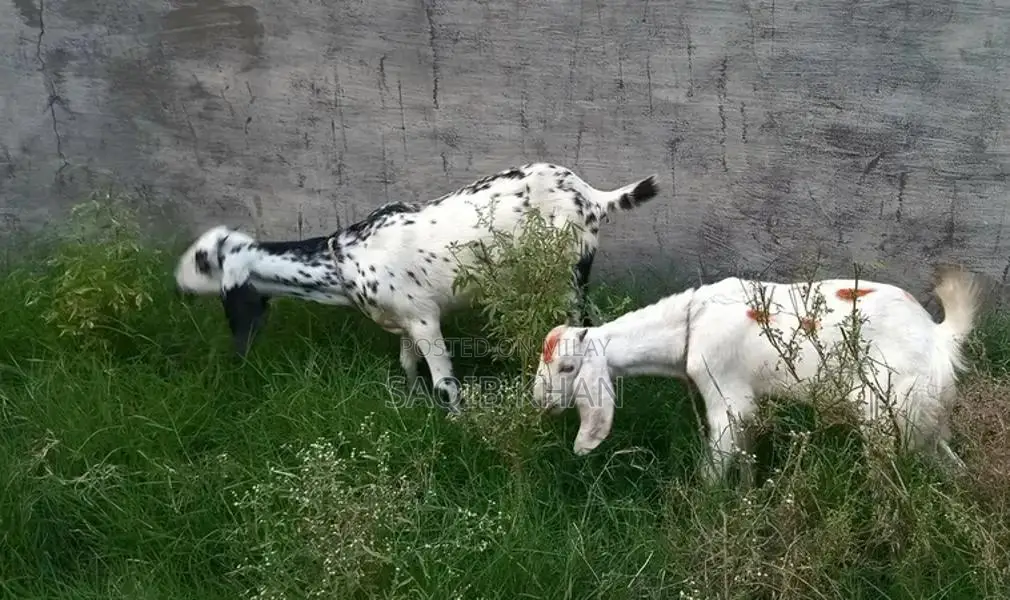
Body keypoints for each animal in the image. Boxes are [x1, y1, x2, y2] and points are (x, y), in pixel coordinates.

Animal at [175, 163, 661, 413]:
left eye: (202, 260)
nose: (176, 287)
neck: (341, 262)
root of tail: (593, 197)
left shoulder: (426, 320)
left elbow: (445, 383)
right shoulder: (406, 321)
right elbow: (408, 367)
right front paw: (410, 402)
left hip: (566, 278)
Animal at [531, 266, 984, 482]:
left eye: (568, 366)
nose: (539, 401)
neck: (688, 326)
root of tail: (939, 337)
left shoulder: (726, 400)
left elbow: (714, 469)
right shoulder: (747, 405)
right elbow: (747, 456)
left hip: (886, 412)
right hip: (924, 418)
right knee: (952, 466)